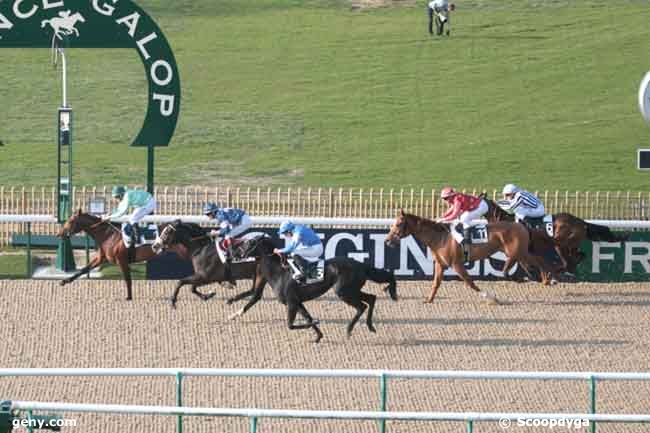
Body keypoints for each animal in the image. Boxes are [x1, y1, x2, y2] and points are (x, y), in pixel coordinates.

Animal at [233, 235, 394, 342]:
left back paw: (349, 330)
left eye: (250, 242)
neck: (279, 272)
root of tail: (361, 264)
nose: (236, 252)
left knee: (362, 306)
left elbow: (291, 325)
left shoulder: (291, 302)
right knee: (371, 298)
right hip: (352, 290)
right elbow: (307, 317)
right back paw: (370, 326)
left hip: (344, 292)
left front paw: (316, 324)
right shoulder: (297, 302)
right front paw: (318, 336)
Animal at [384, 209, 552, 304]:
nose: (387, 240)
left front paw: (490, 297)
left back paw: (547, 277)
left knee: (540, 260)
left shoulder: (456, 264)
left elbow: (470, 282)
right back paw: (545, 278)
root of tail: (521, 226)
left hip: (518, 252)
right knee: (538, 260)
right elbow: (436, 283)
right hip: (517, 253)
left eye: (398, 224)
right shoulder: (440, 264)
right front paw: (429, 300)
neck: (439, 238)